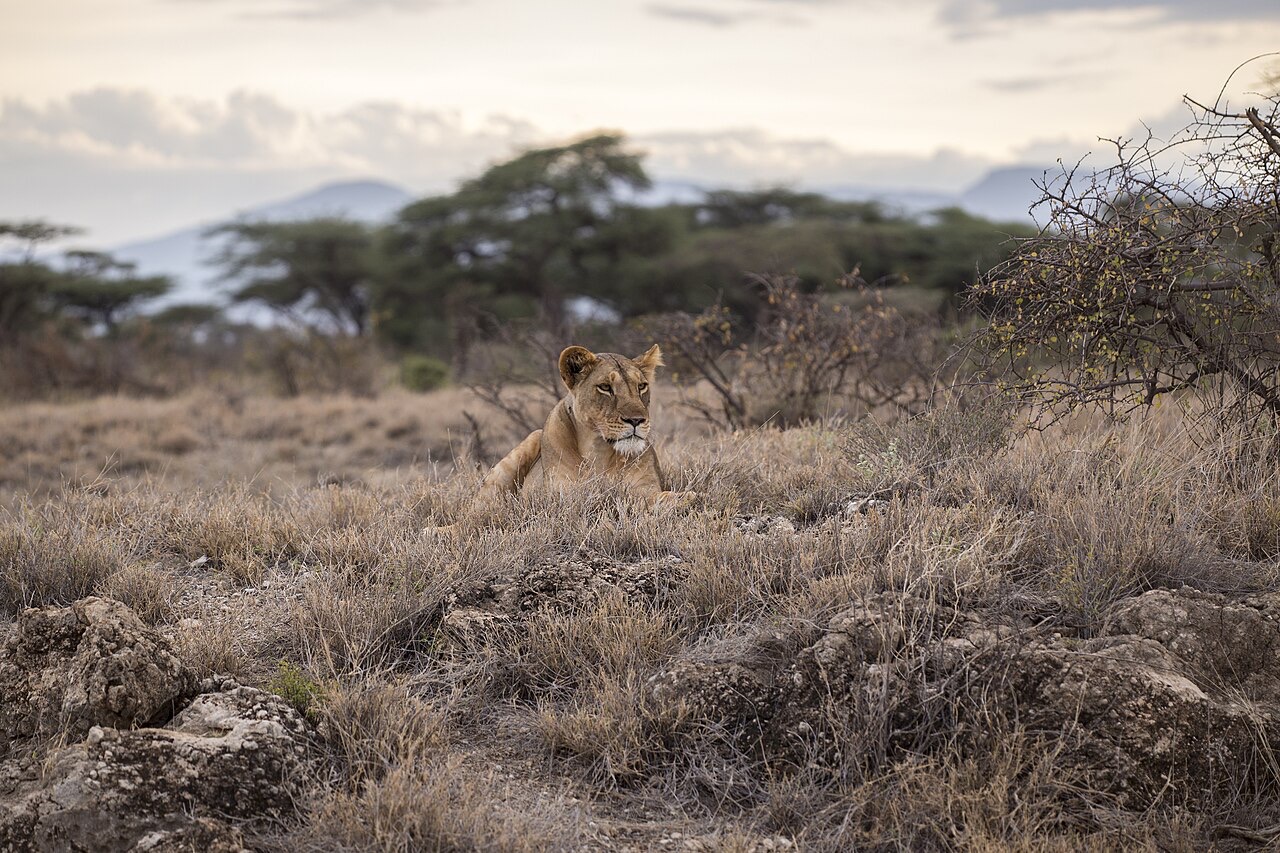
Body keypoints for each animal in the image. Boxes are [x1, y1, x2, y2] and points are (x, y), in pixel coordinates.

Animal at [478, 343, 686, 505]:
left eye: (641, 386)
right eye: (605, 387)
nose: (636, 420)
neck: (599, 449)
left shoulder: (644, 486)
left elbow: (648, 498)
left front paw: (682, 498)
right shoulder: (562, 494)